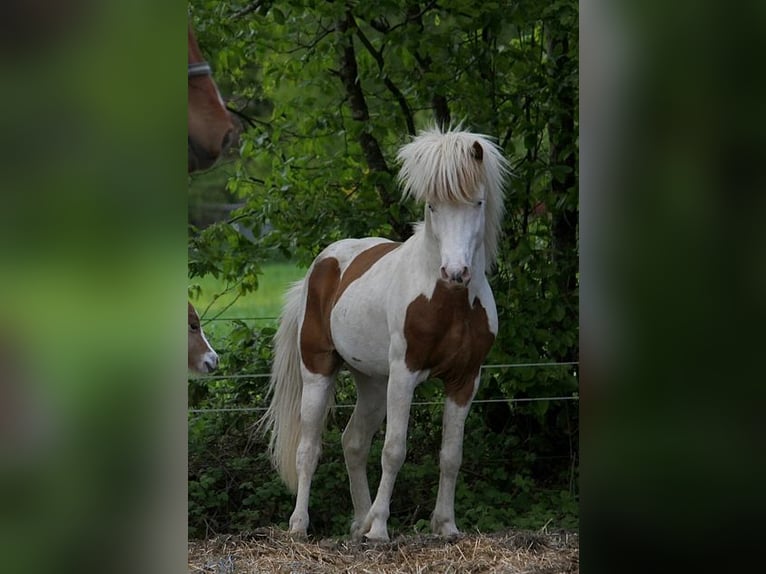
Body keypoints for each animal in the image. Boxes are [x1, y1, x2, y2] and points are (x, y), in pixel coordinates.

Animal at [262, 128, 510, 544]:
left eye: (477, 203)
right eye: (432, 206)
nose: (455, 272)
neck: (449, 300)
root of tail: (320, 266)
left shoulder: (465, 380)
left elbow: (451, 455)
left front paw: (446, 526)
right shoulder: (405, 375)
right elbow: (394, 449)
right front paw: (380, 528)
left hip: (373, 384)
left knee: (353, 443)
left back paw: (358, 522)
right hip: (319, 372)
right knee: (308, 449)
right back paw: (301, 525)